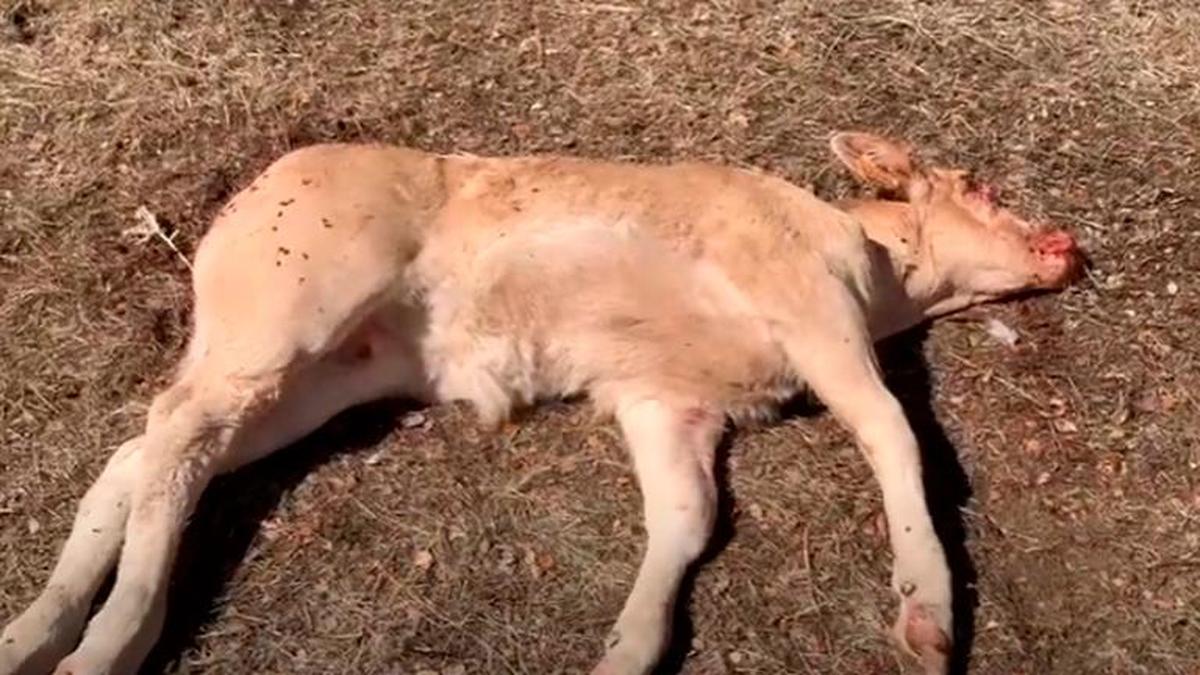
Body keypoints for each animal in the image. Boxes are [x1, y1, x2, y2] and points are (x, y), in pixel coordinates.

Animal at [0, 132, 1084, 672]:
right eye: (983, 188)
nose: (1066, 243)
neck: (879, 268)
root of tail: (244, 199)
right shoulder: (810, 307)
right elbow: (894, 431)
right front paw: (927, 610)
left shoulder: (665, 399)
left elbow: (687, 517)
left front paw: (626, 651)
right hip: (293, 301)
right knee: (172, 427)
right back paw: (111, 640)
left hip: (325, 375)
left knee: (154, 452)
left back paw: (35, 634)